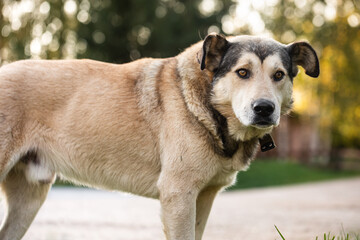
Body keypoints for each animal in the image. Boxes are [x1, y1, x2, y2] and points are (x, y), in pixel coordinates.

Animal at [0, 32, 320, 239]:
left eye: (279, 75)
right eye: (243, 72)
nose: (264, 109)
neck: (205, 105)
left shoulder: (203, 197)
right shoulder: (178, 196)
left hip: (29, 199)